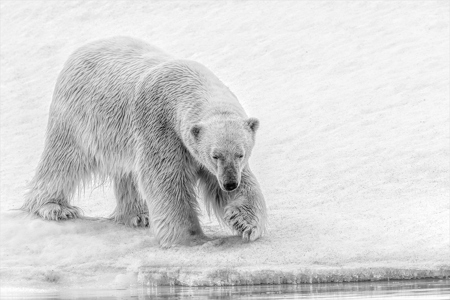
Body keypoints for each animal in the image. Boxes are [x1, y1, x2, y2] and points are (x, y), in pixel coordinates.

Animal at [22, 37, 268, 246]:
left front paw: (244, 222)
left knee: (127, 173)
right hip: (79, 117)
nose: (230, 183)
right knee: (65, 161)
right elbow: (166, 181)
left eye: (241, 154)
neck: (187, 85)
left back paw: (138, 215)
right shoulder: (161, 126)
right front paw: (189, 237)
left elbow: (241, 183)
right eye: (215, 155)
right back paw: (55, 207)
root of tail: (82, 49)